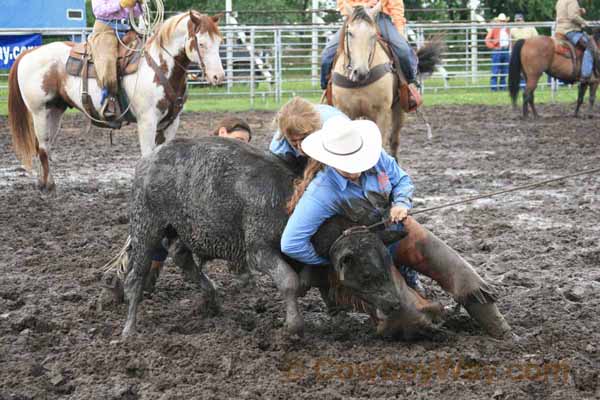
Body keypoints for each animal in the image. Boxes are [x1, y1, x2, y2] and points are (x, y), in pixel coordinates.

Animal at [8, 9, 224, 191]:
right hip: (39, 111)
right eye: (201, 43)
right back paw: (48, 187)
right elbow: (147, 156)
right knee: (43, 148)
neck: (160, 66)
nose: (218, 77)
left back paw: (44, 182)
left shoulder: (171, 122)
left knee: (43, 146)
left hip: (54, 110)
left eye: (220, 42)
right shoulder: (147, 121)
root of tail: (29, 52)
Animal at [330, 4, 442, 159]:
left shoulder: (382, 112)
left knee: (394, 141)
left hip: (399, 109)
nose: (360, 72)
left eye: (373, 35)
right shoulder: (345, 111)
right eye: (350, 33)